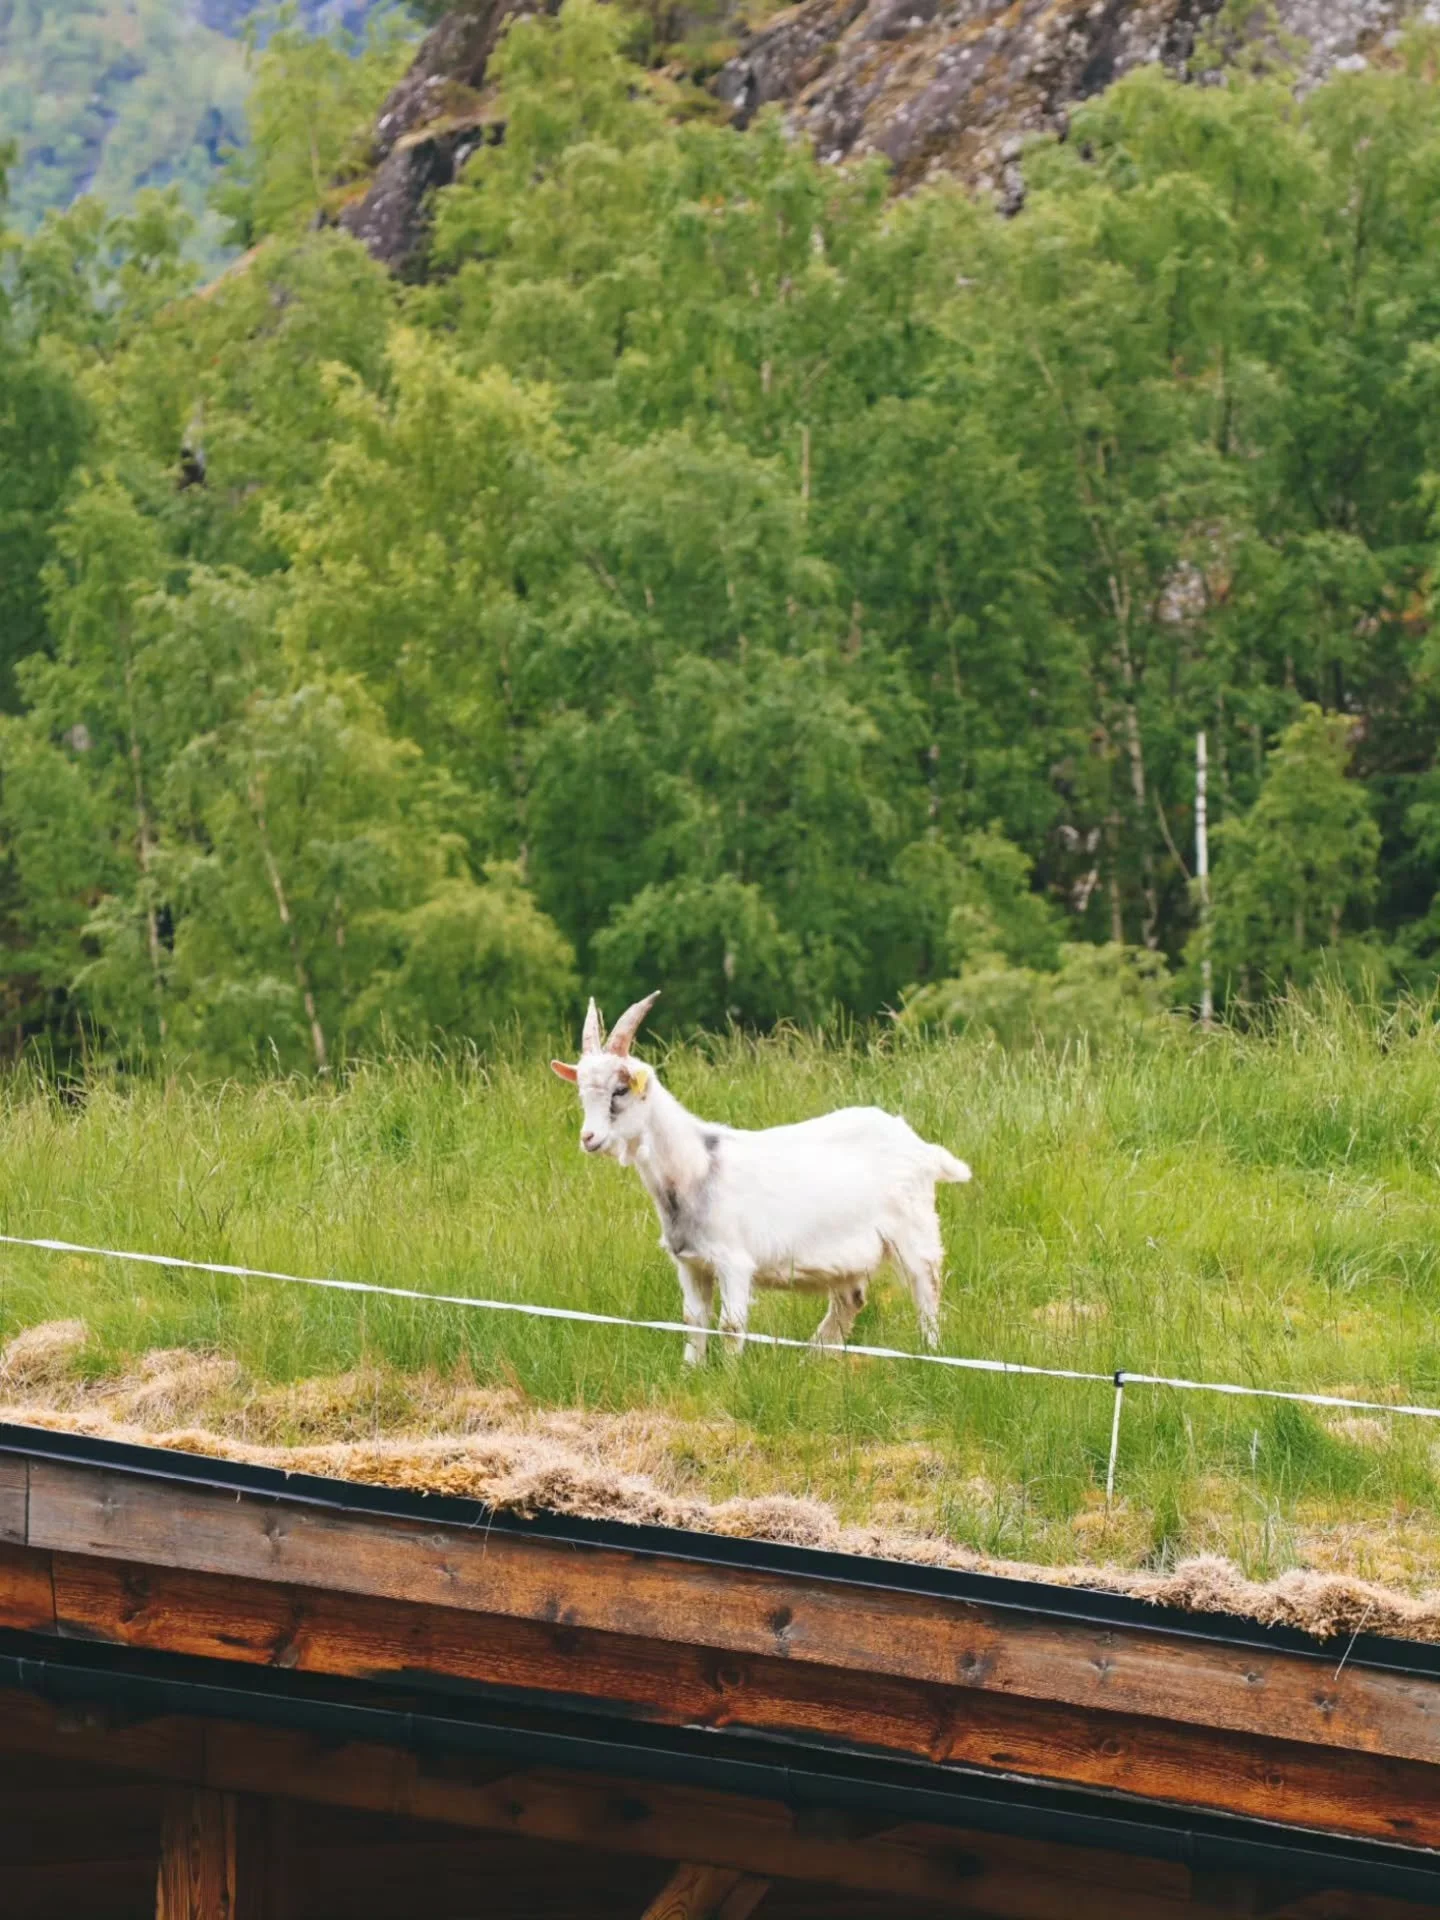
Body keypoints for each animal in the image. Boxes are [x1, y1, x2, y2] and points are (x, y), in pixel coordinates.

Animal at [551, 991, 972, 1363]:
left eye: (620, 1089)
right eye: (582, 1094)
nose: (589, 1138)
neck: (697, 1167)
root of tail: (919, 1145)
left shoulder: (734, 1262)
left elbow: (731, 1326)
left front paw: (729, 1381)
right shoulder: (690, 1264)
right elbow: (693, 1321)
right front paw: (691, 1373)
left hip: (914, 1230)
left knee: (926, 1289)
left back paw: (930, 1354)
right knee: (850, 1299)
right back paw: (813, 1359)